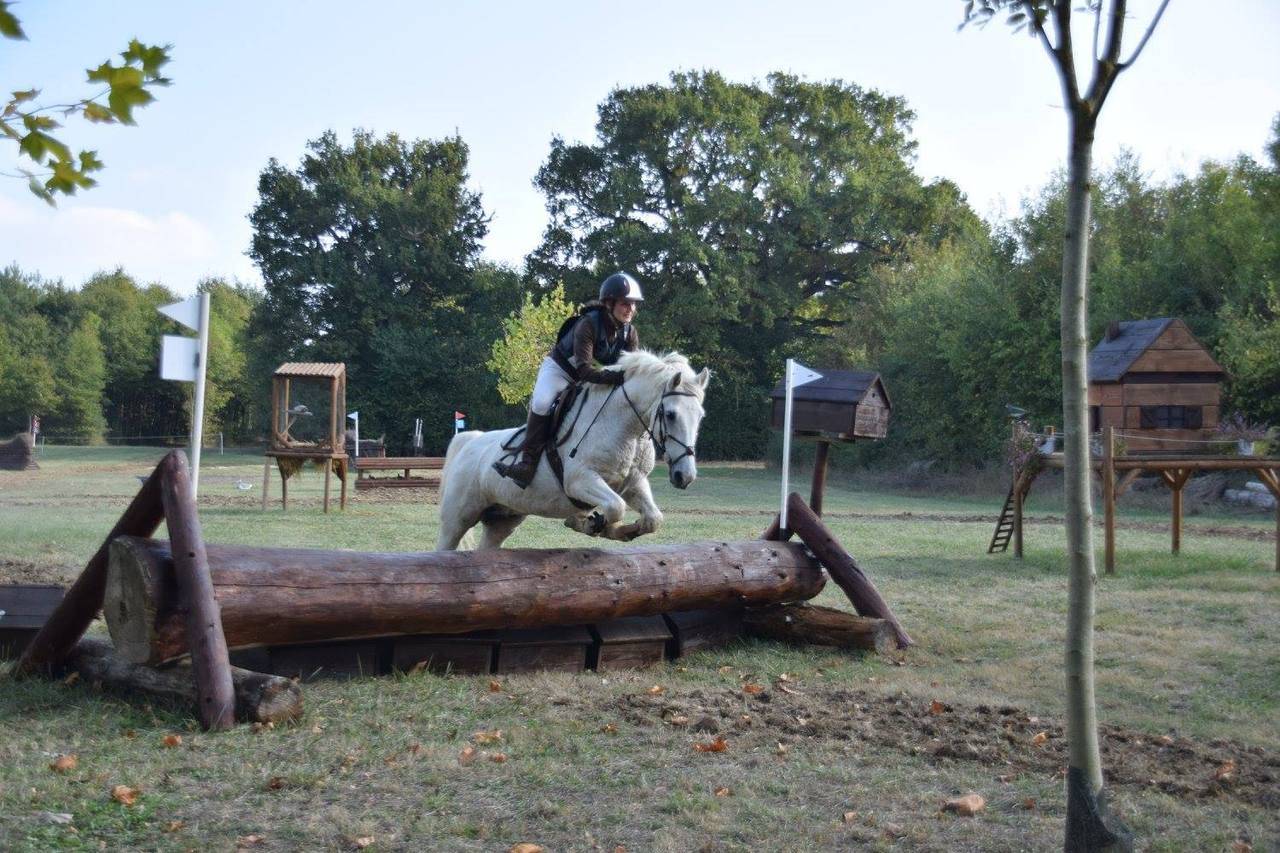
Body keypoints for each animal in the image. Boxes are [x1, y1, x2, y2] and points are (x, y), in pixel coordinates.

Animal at [436, 350, 709, 550]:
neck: (624, 429)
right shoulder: (579, 480)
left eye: (700, 416)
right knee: (446, 544)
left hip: (503, 519)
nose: (684, 476)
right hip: (458, 518)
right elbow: (615, 507)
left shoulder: (634, 483)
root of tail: (468, 441)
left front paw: (613, 528)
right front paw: (590, 524)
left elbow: (652, 518)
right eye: (671, 414)